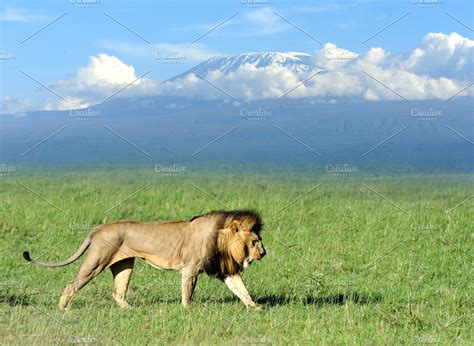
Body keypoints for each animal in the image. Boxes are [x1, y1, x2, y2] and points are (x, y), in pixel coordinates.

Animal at [23, 209, 266, 310]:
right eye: (255, 241)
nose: (264, 253)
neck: (221, 239)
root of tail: (98, 228)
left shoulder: (226, 270)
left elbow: (242, 290)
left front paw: (256, 308)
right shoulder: (190, 268)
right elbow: (187, 292)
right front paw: (187, 310)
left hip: (124, 265)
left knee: (118, 292)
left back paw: (130, 310)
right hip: (96, 261)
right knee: (72, 283)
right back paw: (63, 308)